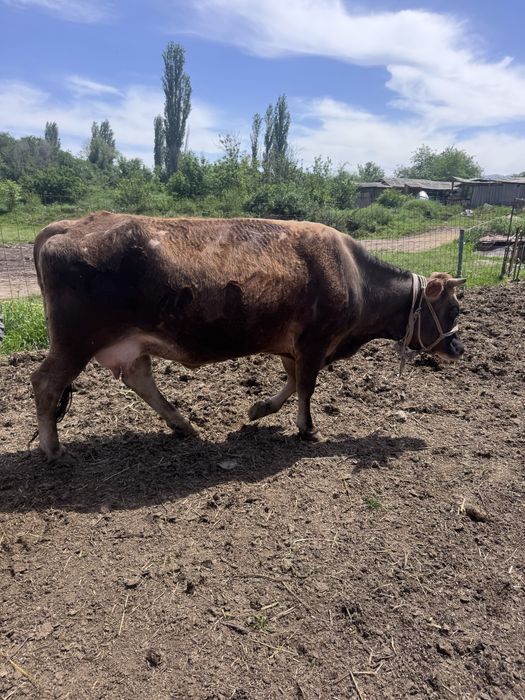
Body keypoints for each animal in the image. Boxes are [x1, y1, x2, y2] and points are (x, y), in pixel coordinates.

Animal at [31, 212, 465, 462]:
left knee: (141, 380)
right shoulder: (314, 341)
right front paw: (308, 429)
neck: (354, 275)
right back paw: (53, 449)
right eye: (453, 309)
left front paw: (260, 409)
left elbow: (292, 381)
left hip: (127, 344)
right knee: (45, 383)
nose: (459, 348)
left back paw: (182, 424)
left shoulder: (292, 345)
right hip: (76, 341)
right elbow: (306, 386)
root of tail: (70, 224)